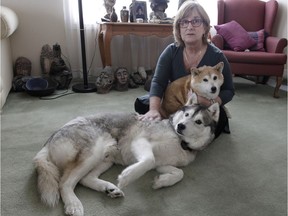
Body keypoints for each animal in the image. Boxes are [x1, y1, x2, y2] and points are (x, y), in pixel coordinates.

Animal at [33, 98, 218, 215]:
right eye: (187, 115)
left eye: (199, 121)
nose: (180, 126)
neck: (179, 140)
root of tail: (48, 141)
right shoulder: (140, 142)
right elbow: (148, 160)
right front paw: (128, 177)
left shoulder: (161, 163)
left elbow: (179, 173)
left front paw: (161, 181)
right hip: (94, 151)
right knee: (65, 183)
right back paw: (74, 204)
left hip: (105, 158)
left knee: (85, 179)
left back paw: (109, 188)